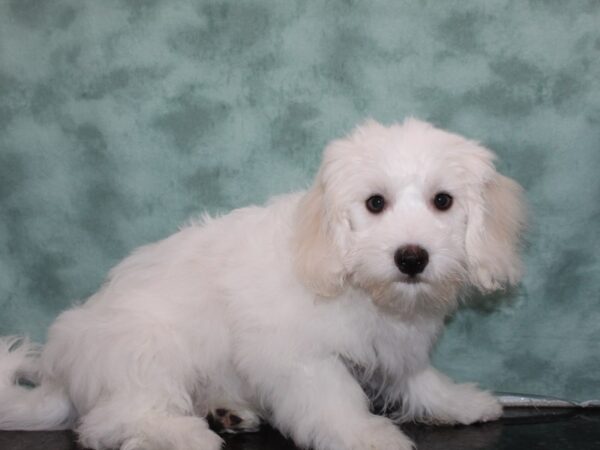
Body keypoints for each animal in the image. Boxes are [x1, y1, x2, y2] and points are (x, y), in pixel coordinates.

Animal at [0, 119, 524, 450]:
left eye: (443, 201)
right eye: (375, 203)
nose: (412, 257)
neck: (350, 274)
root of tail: (65, 375)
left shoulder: (393, 345)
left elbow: (415, 377)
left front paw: (457, 401)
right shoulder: (300, 356)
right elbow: (334, 400)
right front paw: (366, 435)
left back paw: (227, 412)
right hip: (148, 348)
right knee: (110, 422)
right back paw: (183, 435)